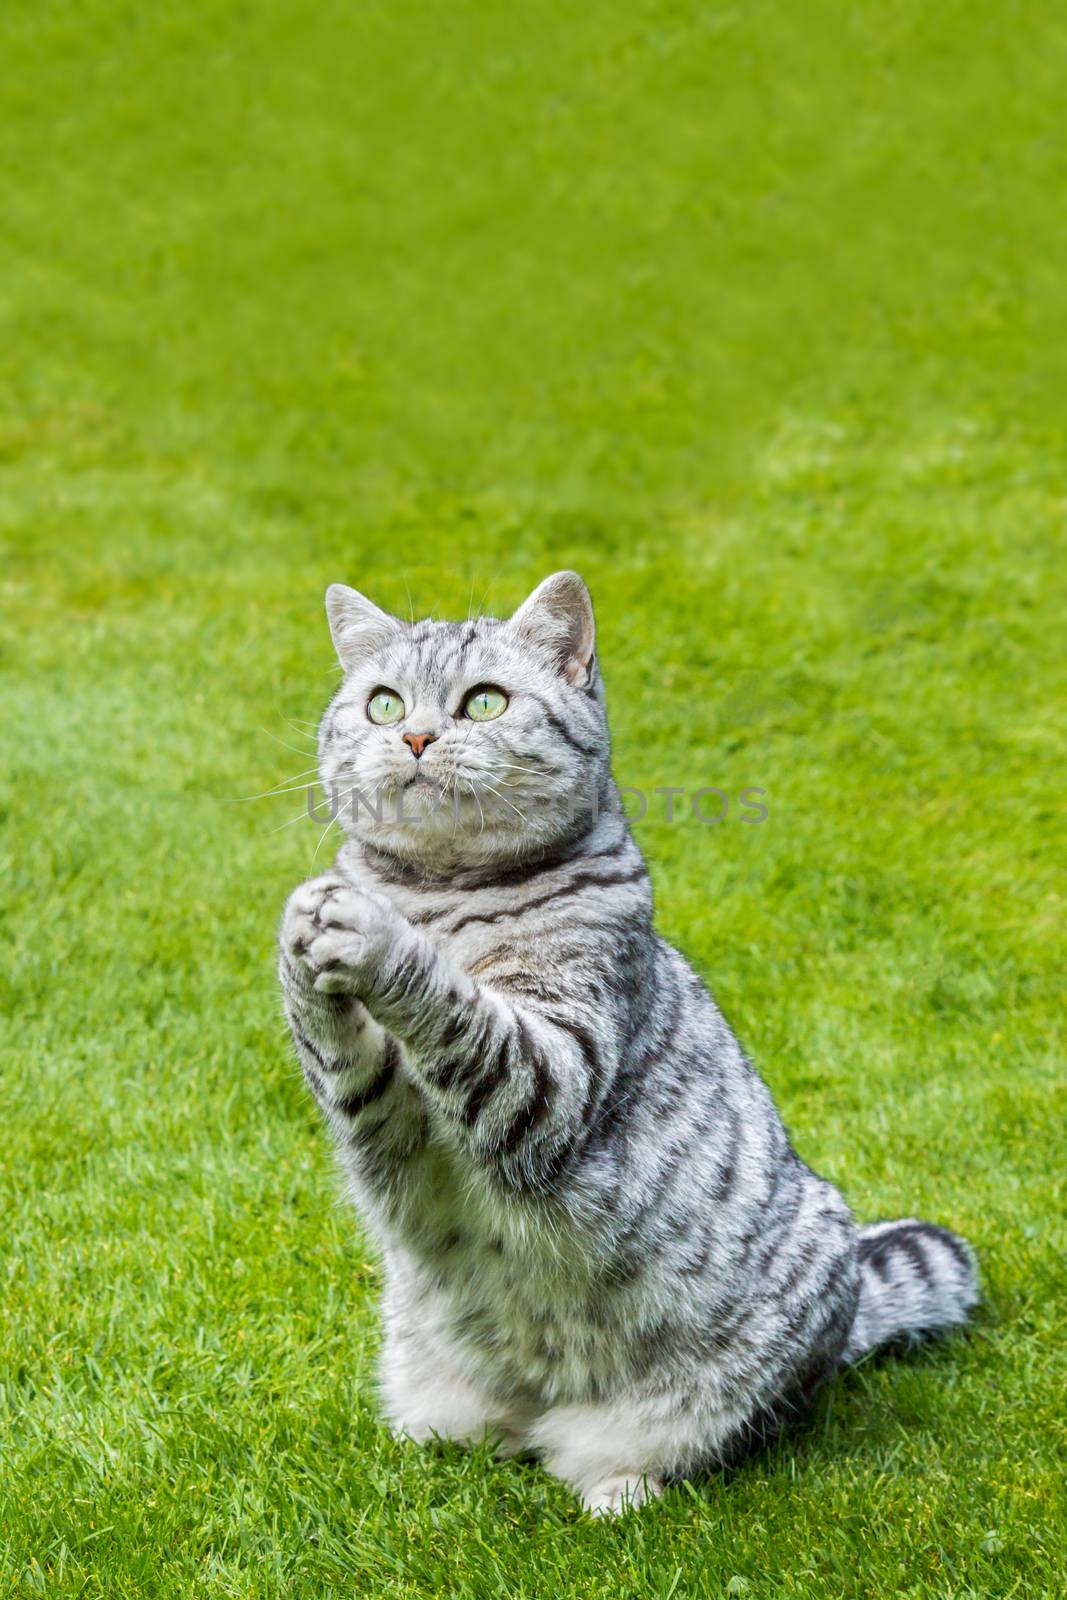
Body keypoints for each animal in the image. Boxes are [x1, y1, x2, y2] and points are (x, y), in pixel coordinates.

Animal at [279, 572, 979, 1510]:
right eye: (383, 704)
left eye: (484, 701)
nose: (417, 736)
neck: (440, 894)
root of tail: (535, 1404)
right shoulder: (380, 1115)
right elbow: (336, 1048)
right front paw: (306, 928)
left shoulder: (552, 1074)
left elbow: (457, 1004)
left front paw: (377, 933)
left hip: (701, 1392)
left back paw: (615, 1490)